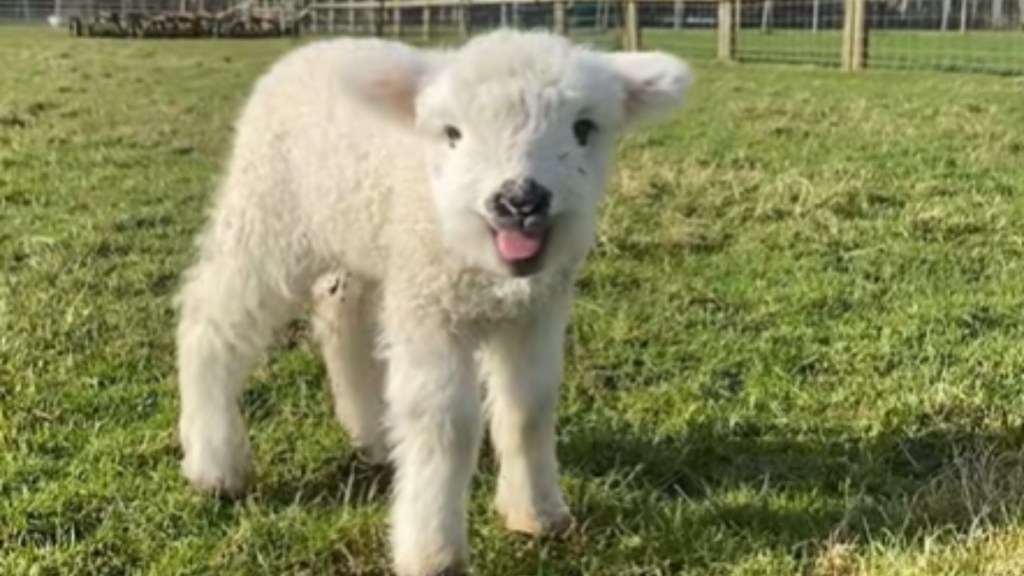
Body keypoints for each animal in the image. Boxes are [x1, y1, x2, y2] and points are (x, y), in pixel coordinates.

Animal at [176, 29, 692, 569]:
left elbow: (528, 407)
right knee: (211, 322)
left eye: (583, 128)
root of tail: (315, 47)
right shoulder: (430, 305)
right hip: (268, 213)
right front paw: (433, 551)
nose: (520, 201)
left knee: (341, 312)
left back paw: (372, 432)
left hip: (363, 238)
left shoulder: (537, 310)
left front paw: (537, 514)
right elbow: (446, 422)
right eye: (452, 133)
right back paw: (215, 466)